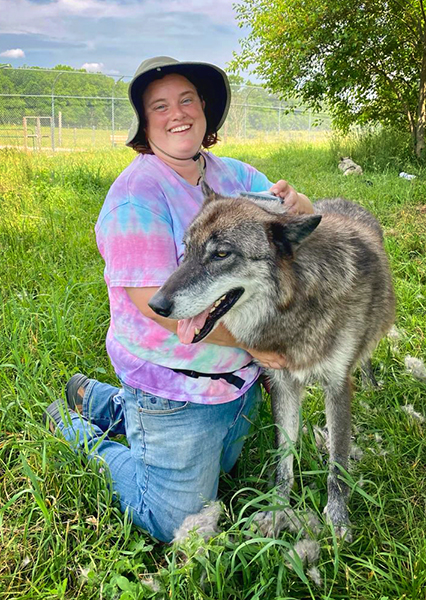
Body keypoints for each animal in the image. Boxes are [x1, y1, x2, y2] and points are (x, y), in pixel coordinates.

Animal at [148, 183, 394, 540]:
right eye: (187, 248)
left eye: (221, 254)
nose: (156, 305)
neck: (298, 300)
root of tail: (344, 200)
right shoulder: (282, 385)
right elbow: (283, 459)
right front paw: (276, 512)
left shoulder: (337, 387)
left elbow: (337, 463)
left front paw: (337, 521)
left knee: (366, 356)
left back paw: (372, 384)